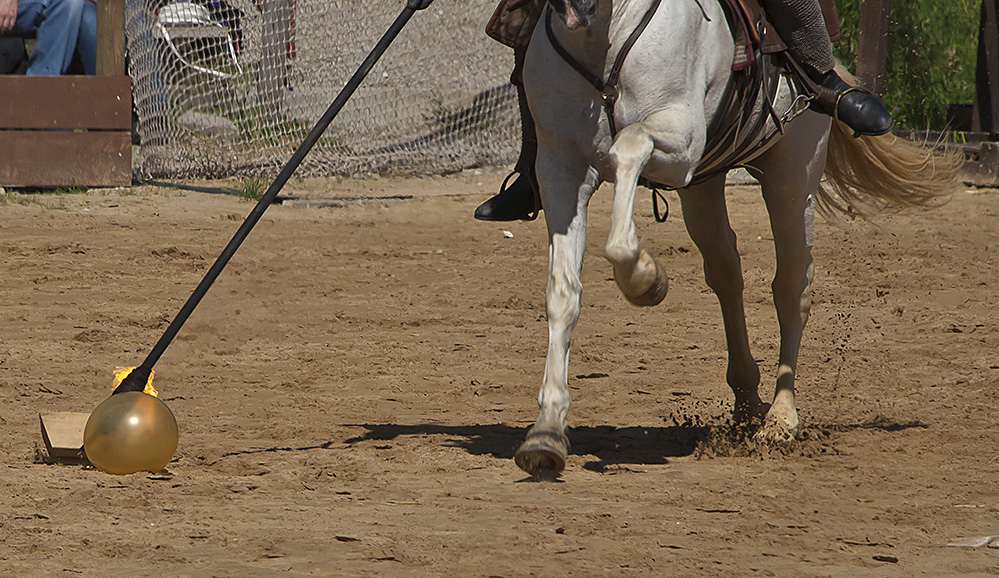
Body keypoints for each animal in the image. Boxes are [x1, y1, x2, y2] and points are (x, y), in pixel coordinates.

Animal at [516, 0, 960, 472]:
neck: (605, 33)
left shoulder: (682, 141)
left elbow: (628, 148)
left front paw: (645, 279)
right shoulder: (561, 169)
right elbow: (563, 294)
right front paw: (546, 431)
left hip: (792, 178)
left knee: (791, 287)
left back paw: (781, 418)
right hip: (703, 186)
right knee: (727, 274)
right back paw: (747, 401)